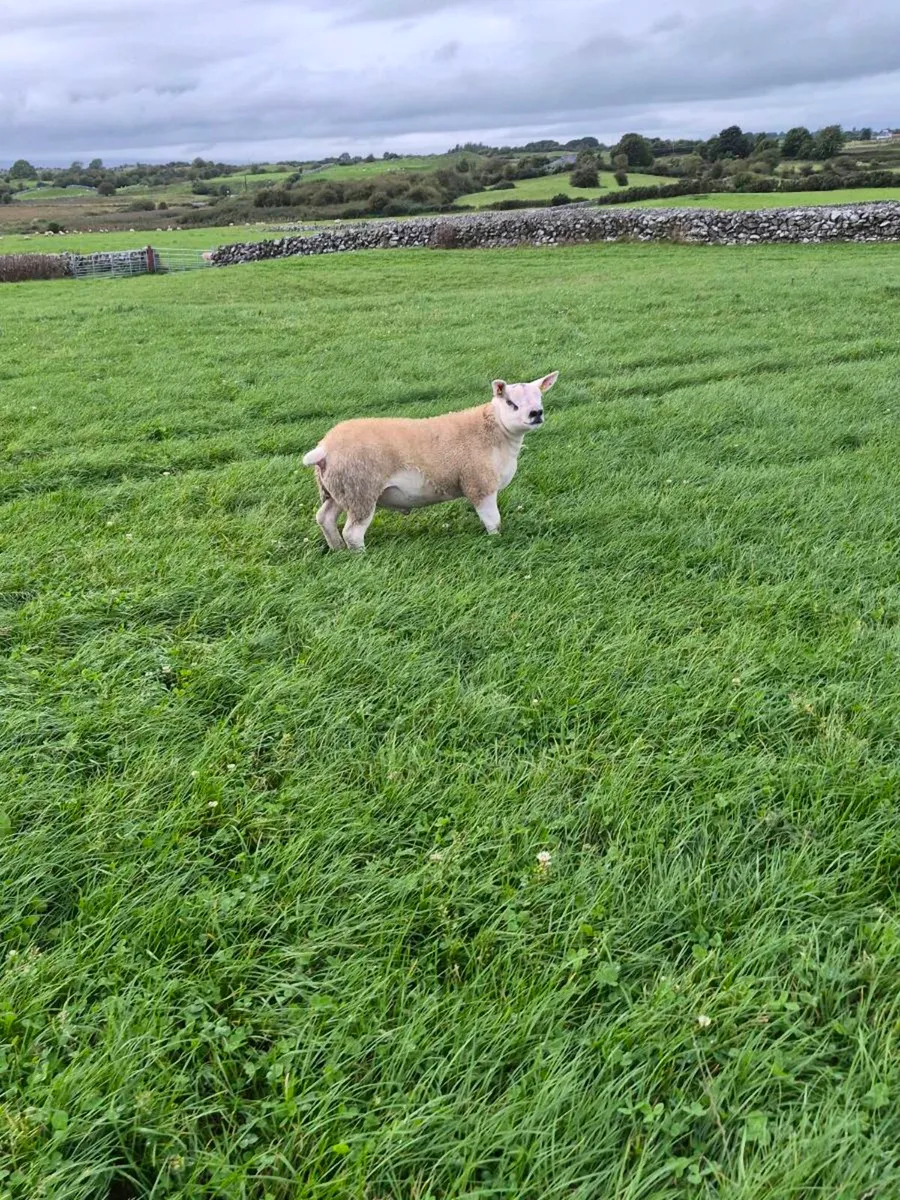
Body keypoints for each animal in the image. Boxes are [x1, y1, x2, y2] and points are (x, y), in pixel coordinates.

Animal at [302, 372, 559, 551]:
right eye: (511, 403)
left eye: (540, 397)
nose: (536, 413)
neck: (495, 432)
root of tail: (324, 448)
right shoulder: (479, 484)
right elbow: (493, 521)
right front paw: (496, 541)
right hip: (360, 490)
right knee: (353, 532)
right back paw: (360, 555)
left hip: (337, 489)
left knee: (325, 518)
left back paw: (337, 549)